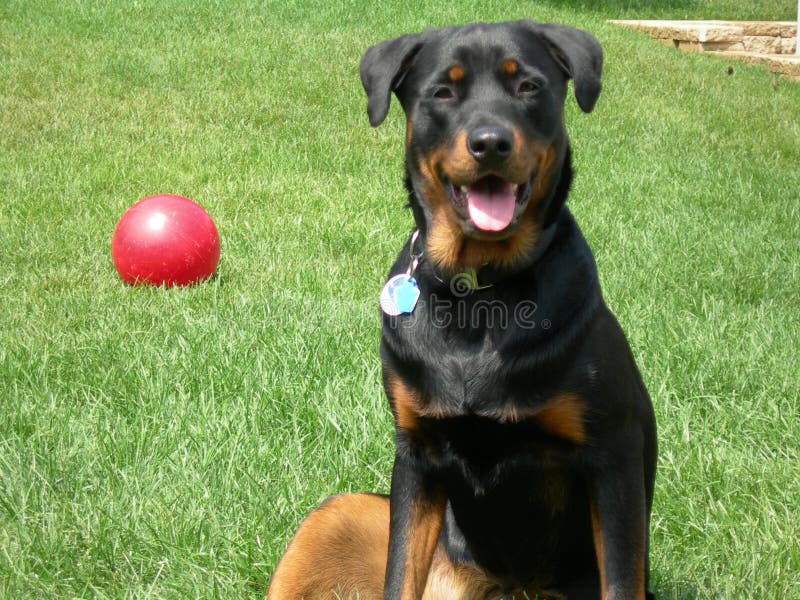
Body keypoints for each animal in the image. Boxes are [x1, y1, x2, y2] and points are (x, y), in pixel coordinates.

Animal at [268, 18, 656, 600]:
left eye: (529, 86)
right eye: (442, 93)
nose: (490, 143)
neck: (480, 292)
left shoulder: (613, 457)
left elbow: (621, 578)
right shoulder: (417, 453)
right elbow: (399, 574)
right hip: (339, 513)